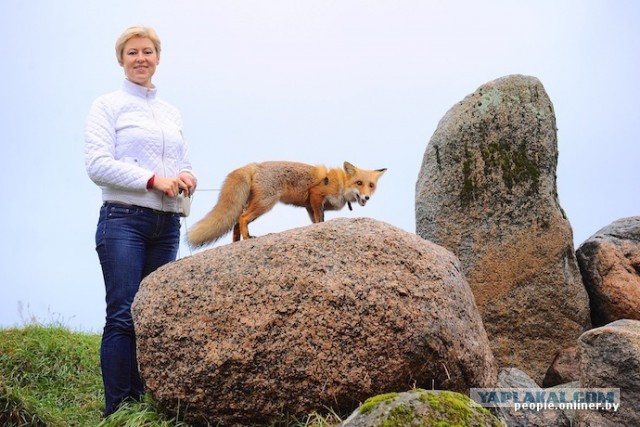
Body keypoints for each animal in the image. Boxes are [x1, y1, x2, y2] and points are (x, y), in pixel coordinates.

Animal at [185, 161, 384, 247]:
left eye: (371, 185)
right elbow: (320, 220)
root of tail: (254, 165)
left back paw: (236, 243)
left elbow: (316, 222)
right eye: (359, 183)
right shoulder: (316, 196)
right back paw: (248, 238)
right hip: (265, 203)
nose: (366, 198)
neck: (341, 184)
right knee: (242, 218)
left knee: (235, 223)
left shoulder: (309, 206)